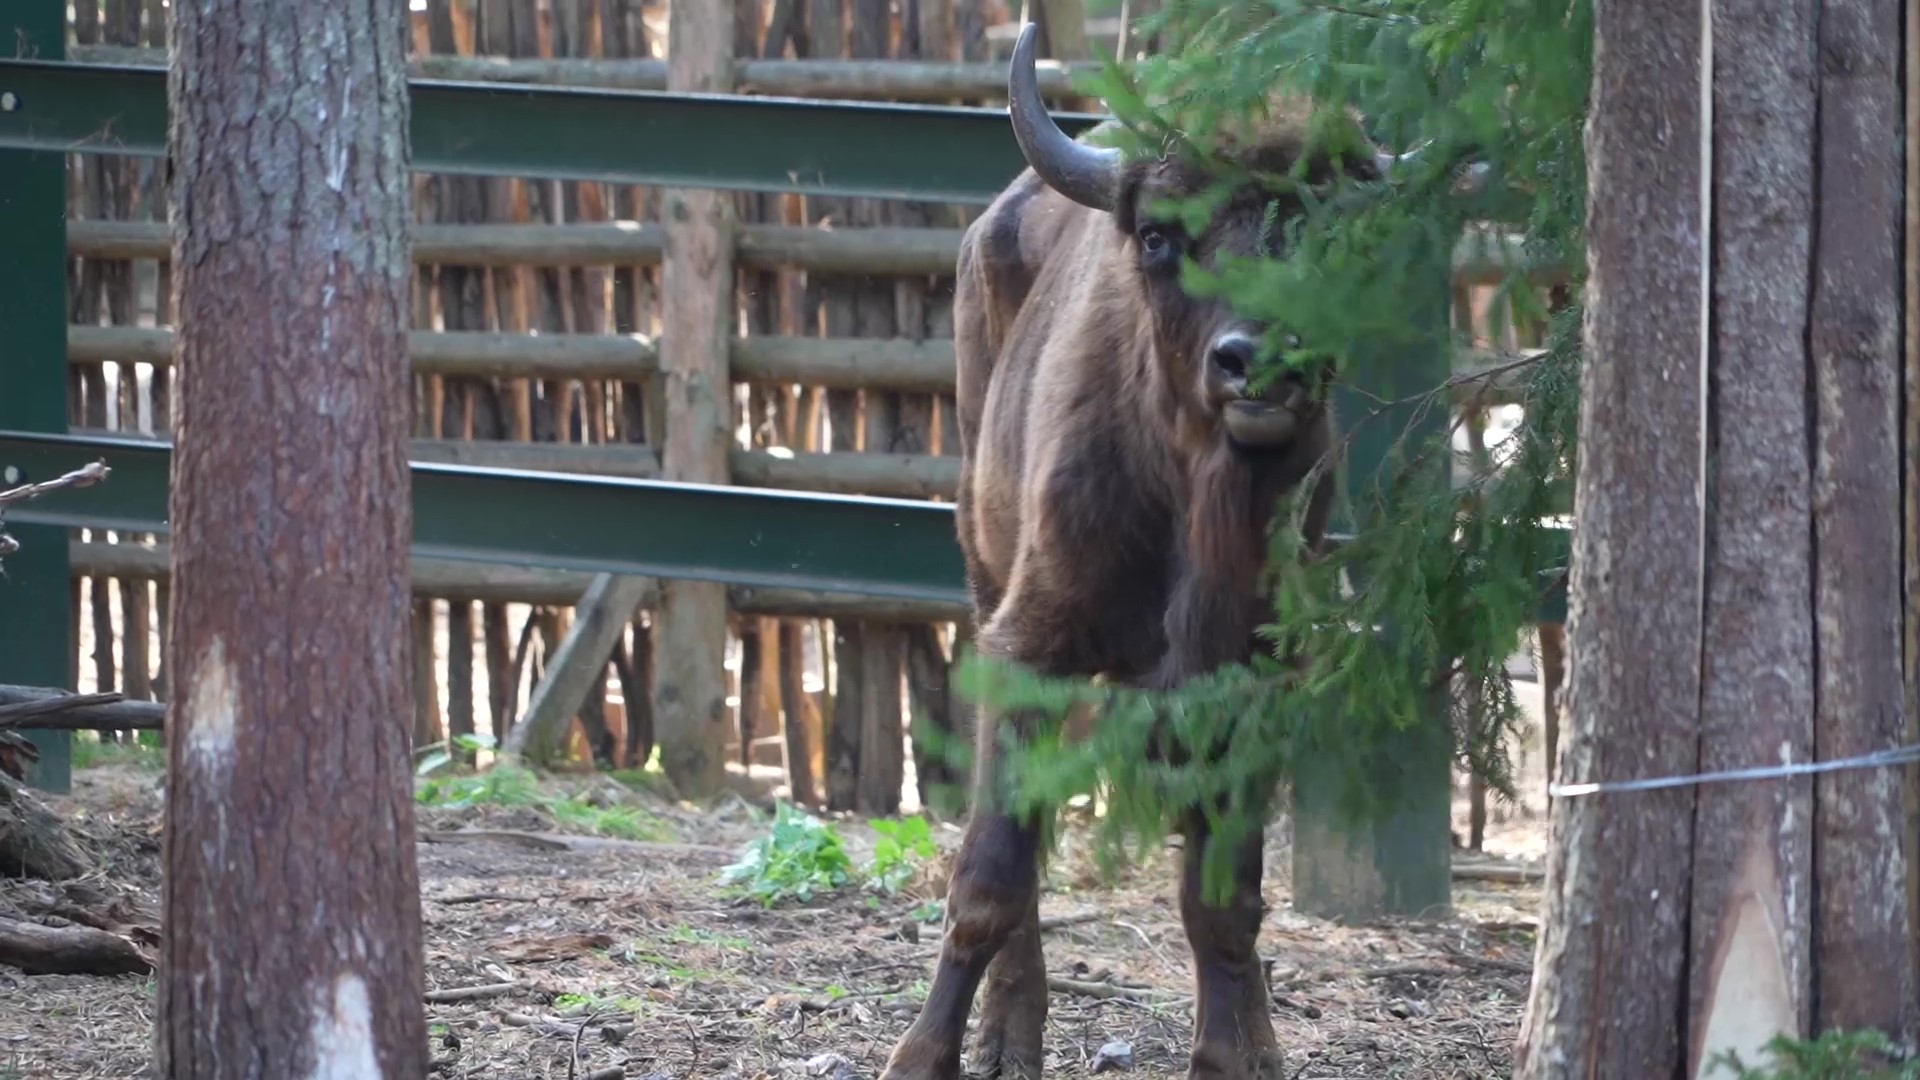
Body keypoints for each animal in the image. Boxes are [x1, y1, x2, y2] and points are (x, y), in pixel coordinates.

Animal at [879, 23, 1436, 1076]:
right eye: (1161, 236)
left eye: (1326, 228)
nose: (1258, 362)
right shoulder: (1030, 650)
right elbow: (991, 879)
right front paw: (922, 1057)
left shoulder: (1247, 682)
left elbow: (1225, 901)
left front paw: (1232, 1055)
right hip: (984, 564)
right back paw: (1009, 1038)